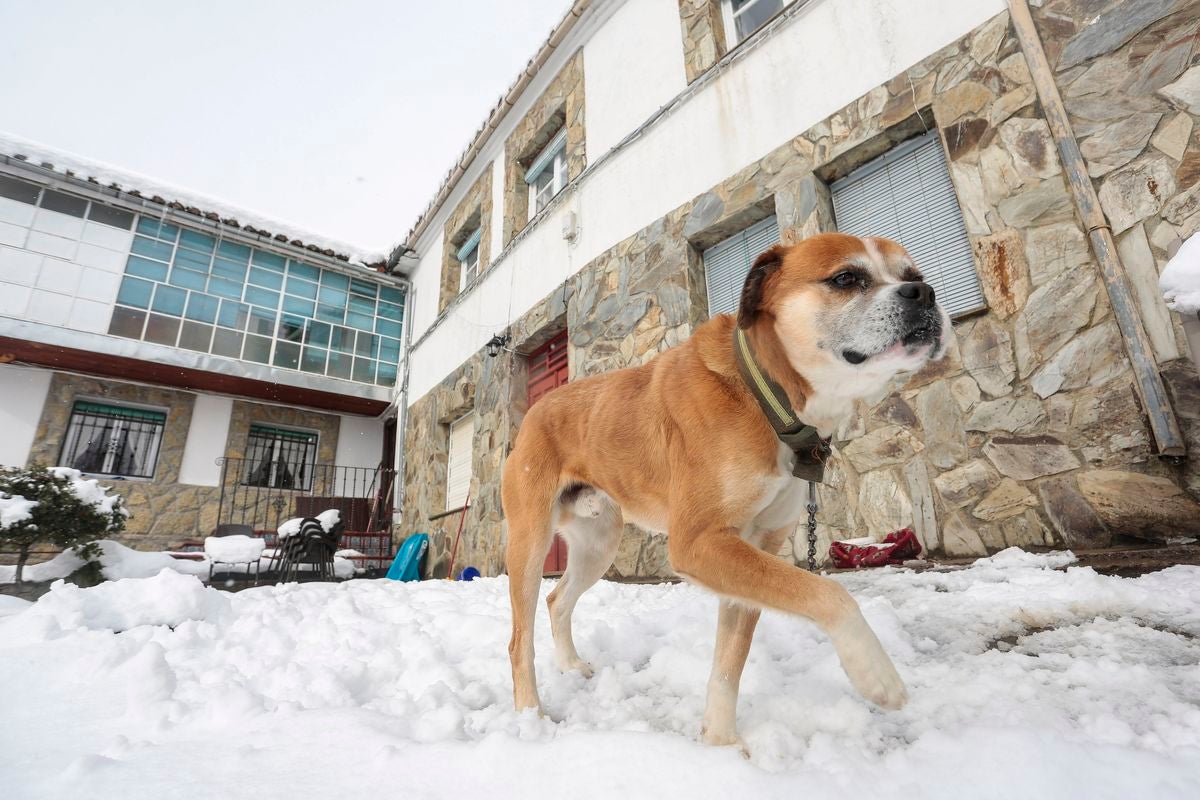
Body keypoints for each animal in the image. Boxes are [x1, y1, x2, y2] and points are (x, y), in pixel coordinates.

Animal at [501, 232, 950, 753]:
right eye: (846, 278)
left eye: (913, 276)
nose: (925, 293)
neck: (767, 397)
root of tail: (534, 411)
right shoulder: (700, 543)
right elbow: (828, 592)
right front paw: (876, 673)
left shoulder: (753, 548)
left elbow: (729, 662)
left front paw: (720, 743)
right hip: (530, 542)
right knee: (519, 638)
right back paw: (529, 715)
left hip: (598, 544)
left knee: (558, 601)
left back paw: (572, 666)